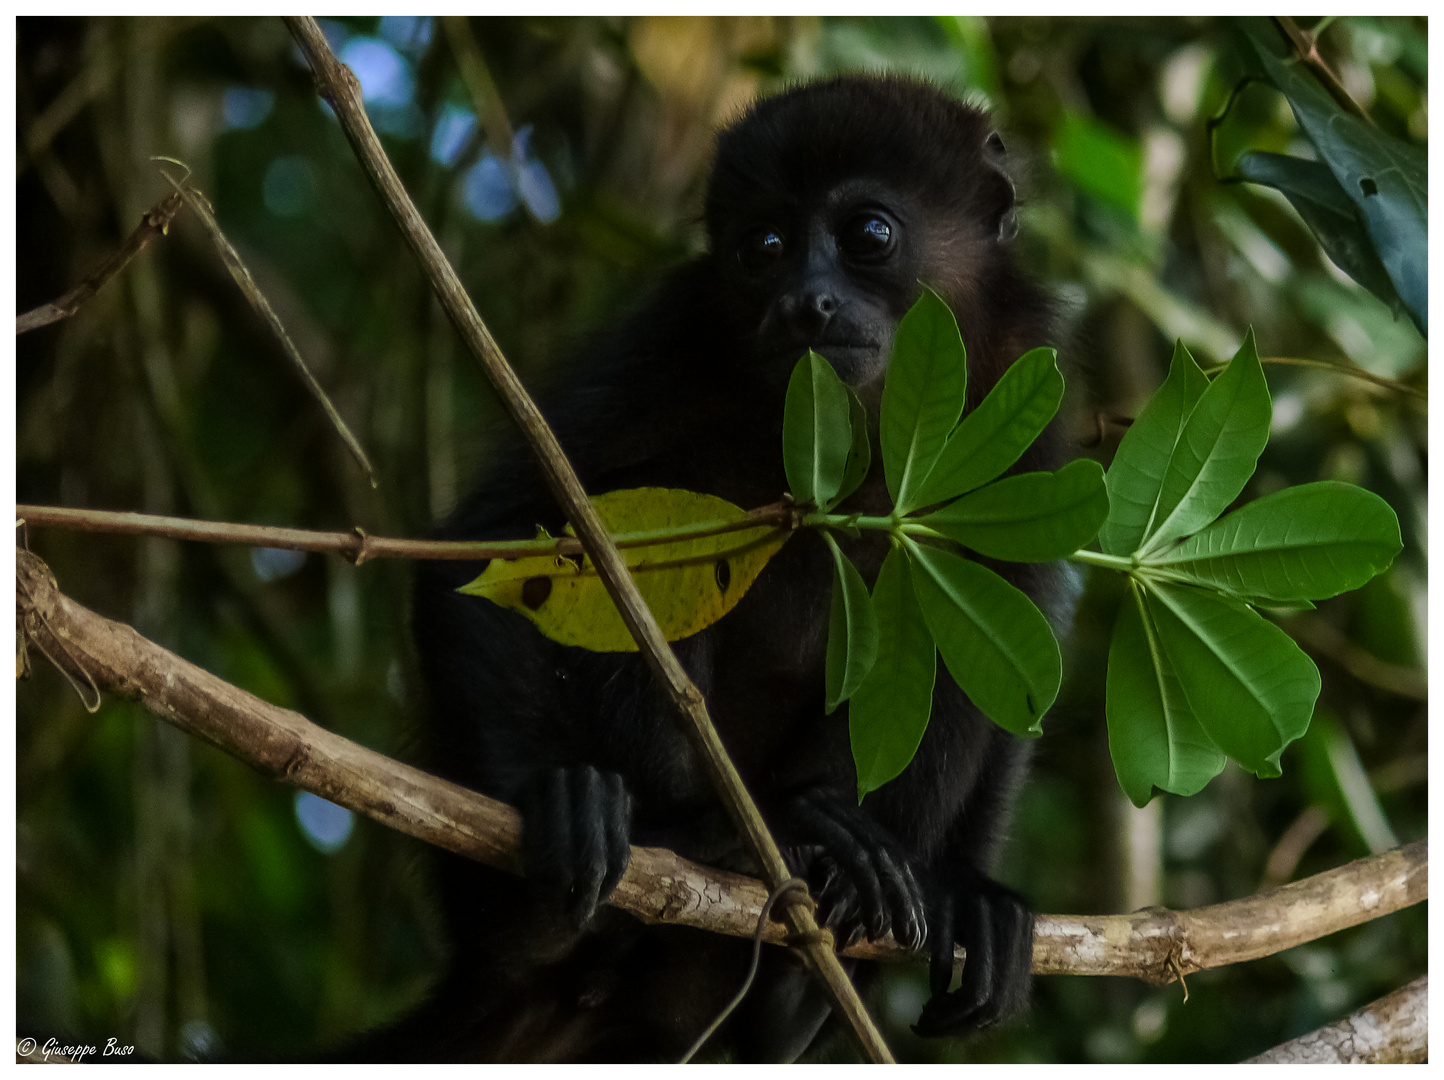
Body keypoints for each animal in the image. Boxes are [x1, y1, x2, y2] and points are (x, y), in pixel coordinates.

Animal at [401, 73, 1068, 1062]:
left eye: (870, 234)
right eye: (766, 247)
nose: (806, 303)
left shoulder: (1021, 373)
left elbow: (1013, 616)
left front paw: (970, 894)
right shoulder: (672, 332)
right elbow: (503, 535)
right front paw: (547, 805)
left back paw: (813, 927)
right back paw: (652, 857)